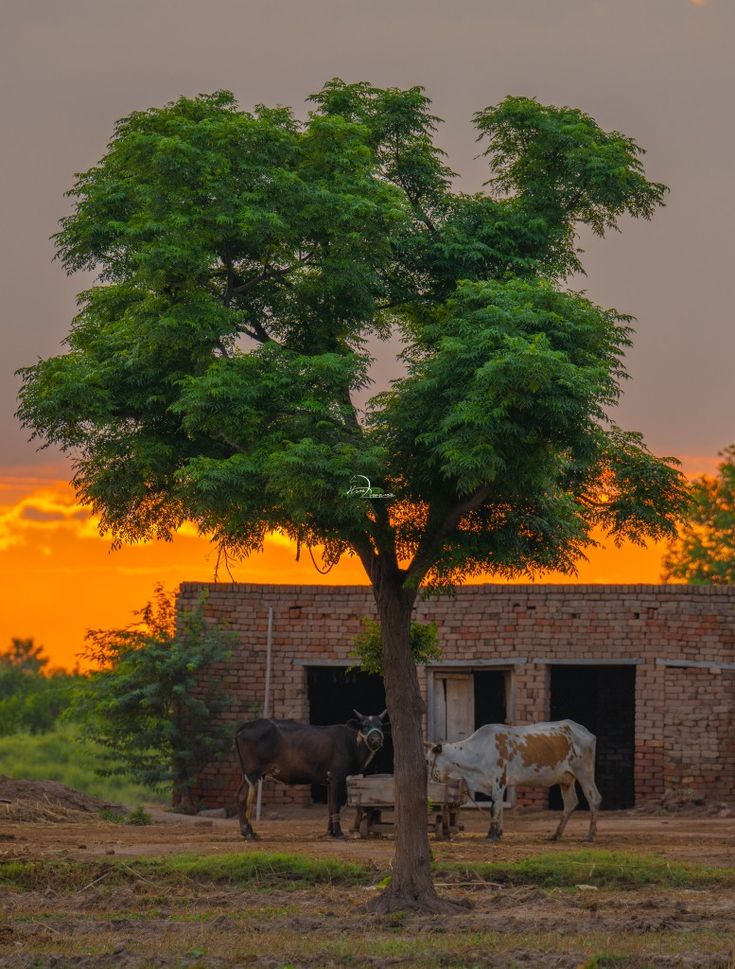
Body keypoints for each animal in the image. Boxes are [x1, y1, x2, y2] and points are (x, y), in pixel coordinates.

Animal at [236, 708, 388, 836]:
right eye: (365, 725)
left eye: (380, 725)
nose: (376, 739)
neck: (351, 743)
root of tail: (247, 725)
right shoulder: (337, 777)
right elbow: (335, 806)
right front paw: (338, 833)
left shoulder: (329, 781)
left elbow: (330, 807)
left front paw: (330, 832)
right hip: (252, 773)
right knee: (243, 798)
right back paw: (248, 832)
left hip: (246, 774)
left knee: (238, 796)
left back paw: (246, 831)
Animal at [428, 720, 600, 840]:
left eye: (428, 760)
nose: (432, 780)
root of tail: (584, 731)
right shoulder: (498, 784)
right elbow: (499, 808)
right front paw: (498, 833)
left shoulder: (498, 780)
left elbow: (494, 808)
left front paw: (492, 835)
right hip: (566, 779)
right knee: (570, 803)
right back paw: (555, 834)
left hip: (584, 772)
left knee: (594, 798)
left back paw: (589, 835)